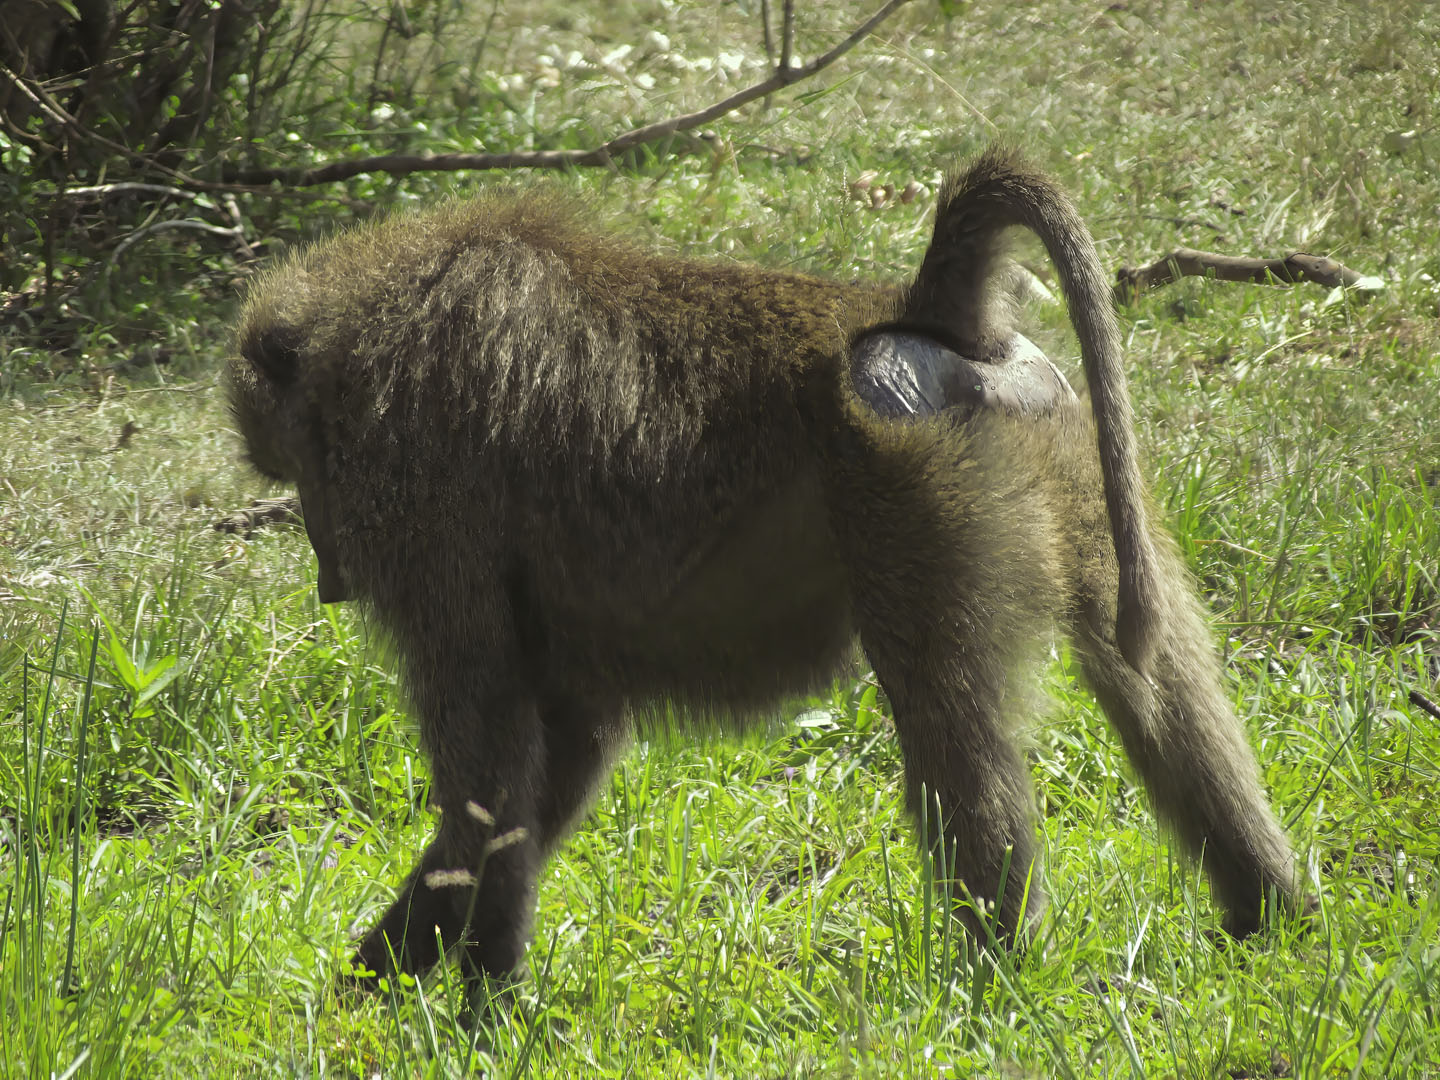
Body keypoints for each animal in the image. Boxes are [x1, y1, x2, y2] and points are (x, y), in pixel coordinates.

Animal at [227, 145, 1304, 991]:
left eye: (298, 475)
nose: (329, 582)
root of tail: (918, 308)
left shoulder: (422, 512)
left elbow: (491, 768)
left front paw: (471, 996)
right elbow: (561, 754)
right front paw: (386, 971)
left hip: (911, 497)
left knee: (949, 730)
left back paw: (1002, 973)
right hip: (1065, 455)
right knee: (1151, 686)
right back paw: (1273, 918)